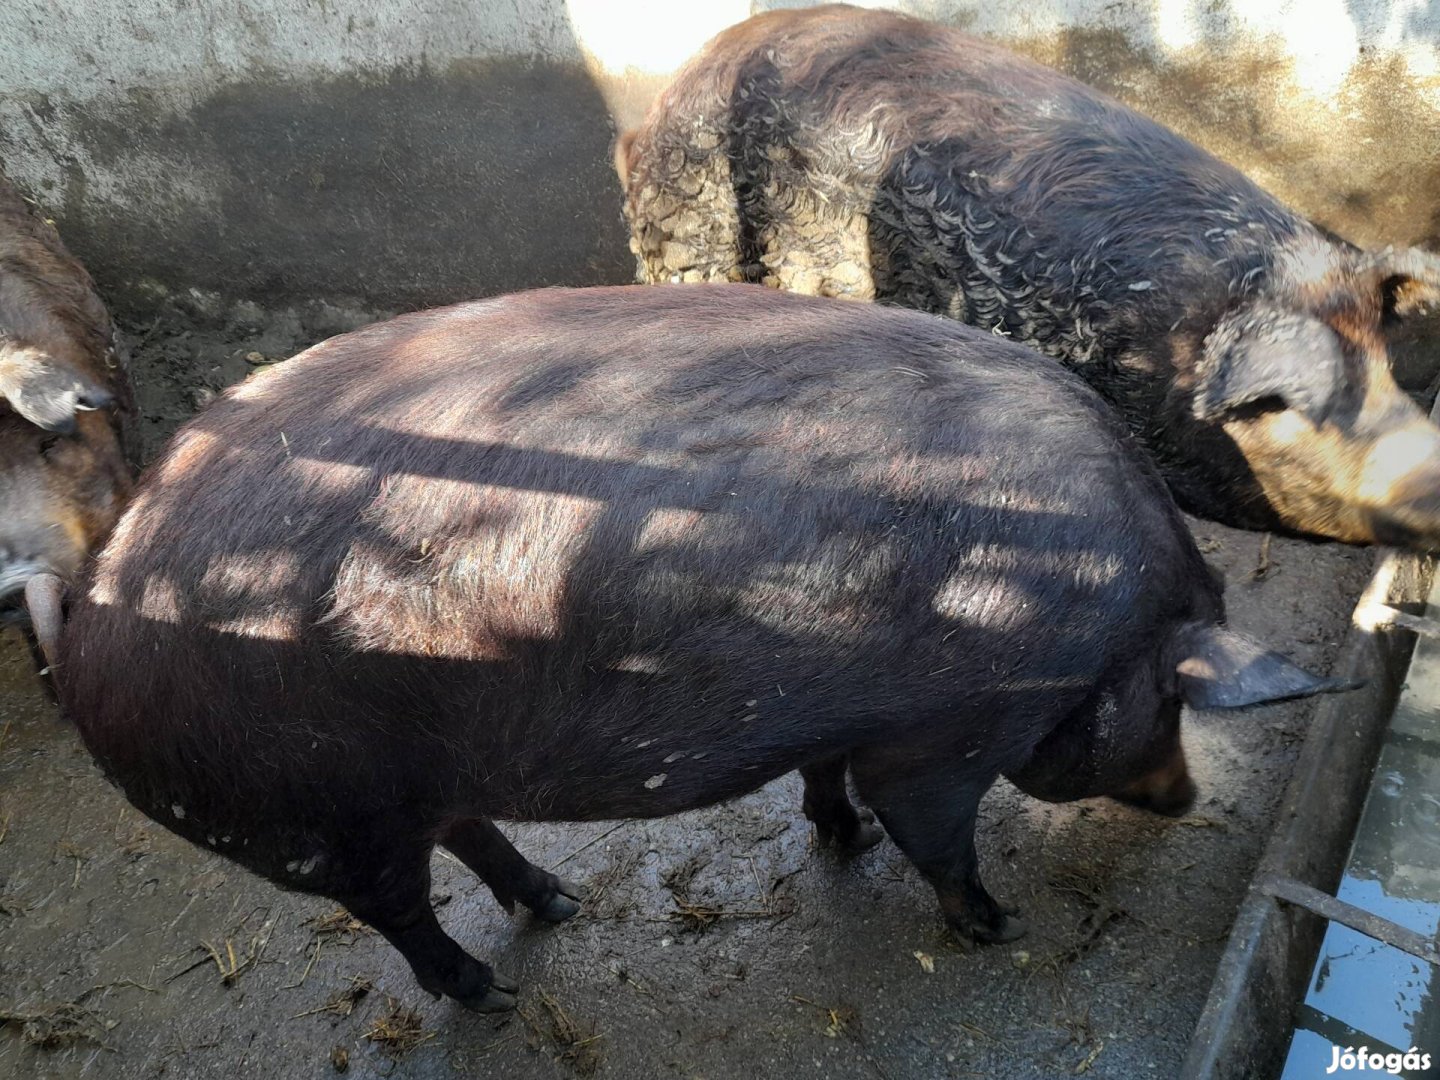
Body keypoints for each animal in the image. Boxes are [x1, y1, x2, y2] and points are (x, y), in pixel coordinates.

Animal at [47, 283, 1347, 1013]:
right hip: (317, 820)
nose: (1185, 798)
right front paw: (996, 928)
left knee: (468, 836)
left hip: (403, 787)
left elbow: (826, 779)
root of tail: (102, 604)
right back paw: (491, 997)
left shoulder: (851, 713)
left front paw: (838, 839)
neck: (1094, 626)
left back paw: (560, 904)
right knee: (404, 916)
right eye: (1171, 702)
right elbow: (934, 836)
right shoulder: (945, 732)